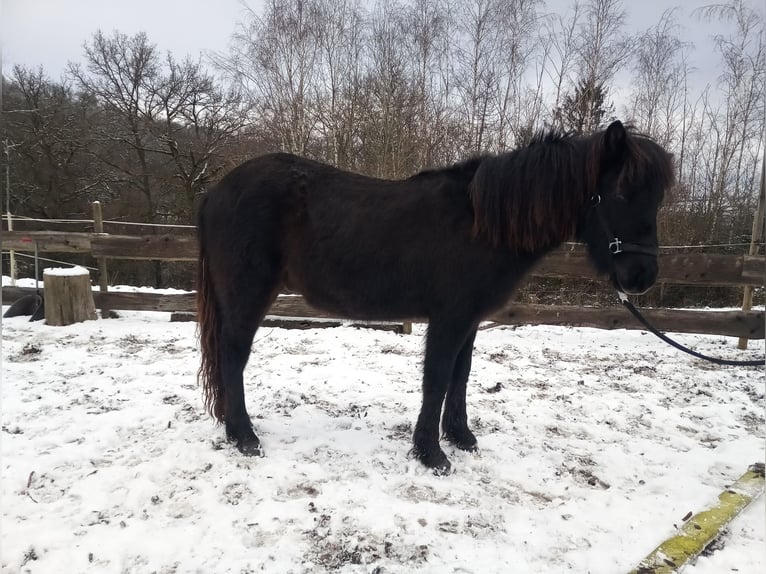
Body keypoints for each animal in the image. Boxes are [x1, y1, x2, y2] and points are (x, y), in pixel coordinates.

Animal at [200, 120, 680, 472]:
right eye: (620, 191)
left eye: (656, 198)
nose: (641, 276)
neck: (480, 224)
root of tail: (217, 191)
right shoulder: (448, 319)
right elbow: (436, 378)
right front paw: (431, 454)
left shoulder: (470, 319)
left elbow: (459, 377)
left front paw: (461, 436)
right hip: (248, 295)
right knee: (233, 355)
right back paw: (244, 437)